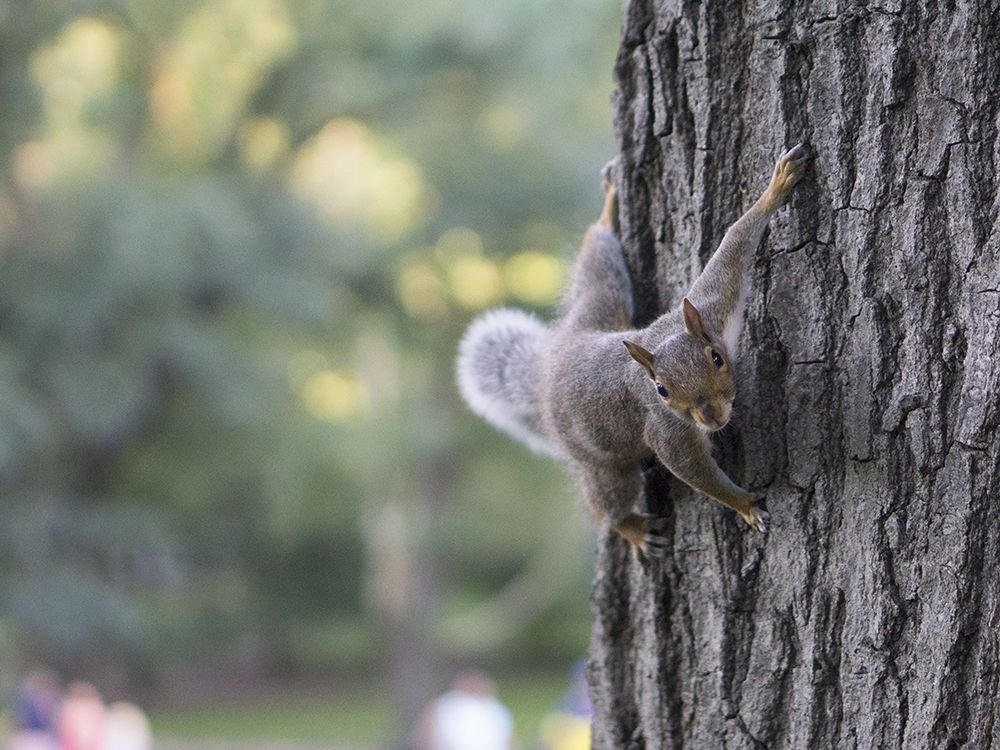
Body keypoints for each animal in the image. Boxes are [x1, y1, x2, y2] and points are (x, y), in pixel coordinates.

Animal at [458, 145, 808, 560]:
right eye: (661, 390)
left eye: (716, 358)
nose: (712, 416)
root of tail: (548, 369)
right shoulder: (666, 431)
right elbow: (695, 473)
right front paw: (745, 505)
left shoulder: (712, 304)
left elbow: (735, 244)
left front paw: (777, 186)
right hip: (601, 461)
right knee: (604, 503)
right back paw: (632, 528)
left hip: (600, 302)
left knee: (596, 261)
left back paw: (608, 211)